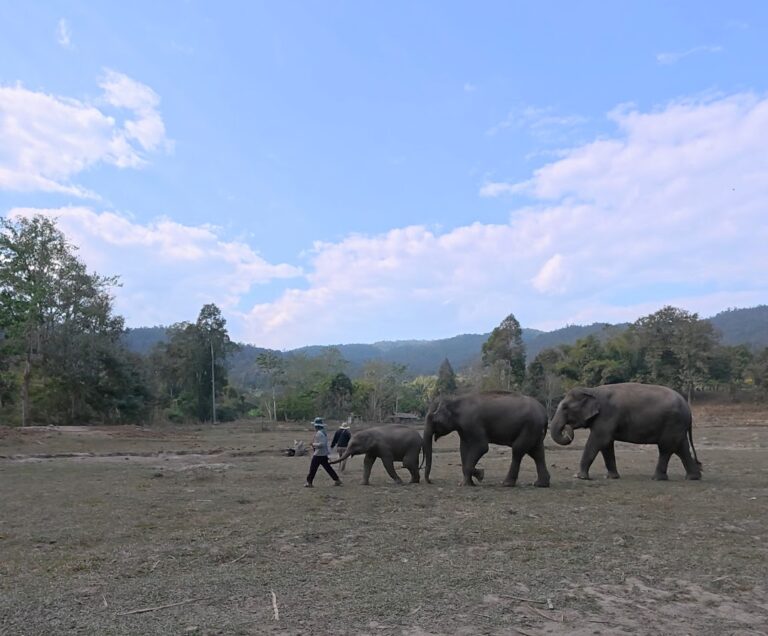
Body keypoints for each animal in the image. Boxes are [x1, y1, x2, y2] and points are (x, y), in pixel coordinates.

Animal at [550, 382, 702, 481]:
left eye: (565, 407)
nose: (566, 428)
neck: (592, 391)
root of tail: (688, 409)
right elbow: (606, 445)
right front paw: (611, 477)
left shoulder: (607, 415)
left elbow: (599, 440)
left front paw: (580, 477)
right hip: (677, 426)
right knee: (680, 448)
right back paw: (693, 477)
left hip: (672, 423)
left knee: (666, 448)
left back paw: (657, 478)